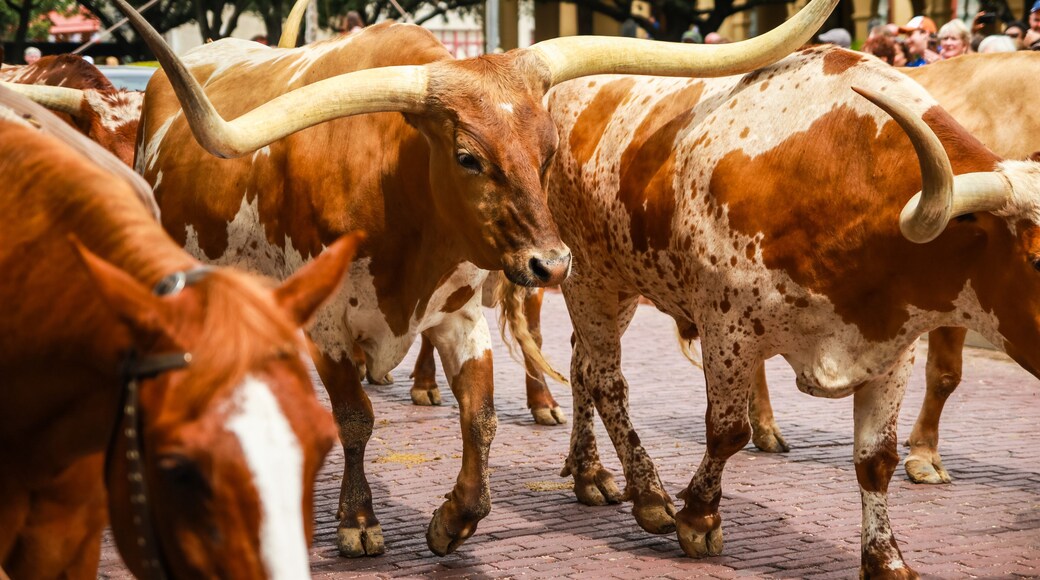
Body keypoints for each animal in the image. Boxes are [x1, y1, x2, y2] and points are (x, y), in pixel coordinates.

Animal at [110, 0, 837, 557]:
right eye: (467, 157)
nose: (552, 265)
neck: (390, 189)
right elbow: (354, 419)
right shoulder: (328, 327)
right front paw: (357, 521)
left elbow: (480, 418)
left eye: (547, 150)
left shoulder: (458, 311)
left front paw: (451, 520)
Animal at [540, 46, 1040, 578]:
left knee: (581, 364)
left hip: (620, 288)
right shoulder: (728, 330)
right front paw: (698, 516)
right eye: (1036, 259)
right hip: (588, 277)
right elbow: (727, 432)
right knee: (606, 380)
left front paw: (885, 558)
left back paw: (589, 472)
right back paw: (648, 495)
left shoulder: (893, 347)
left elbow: (876, 458)